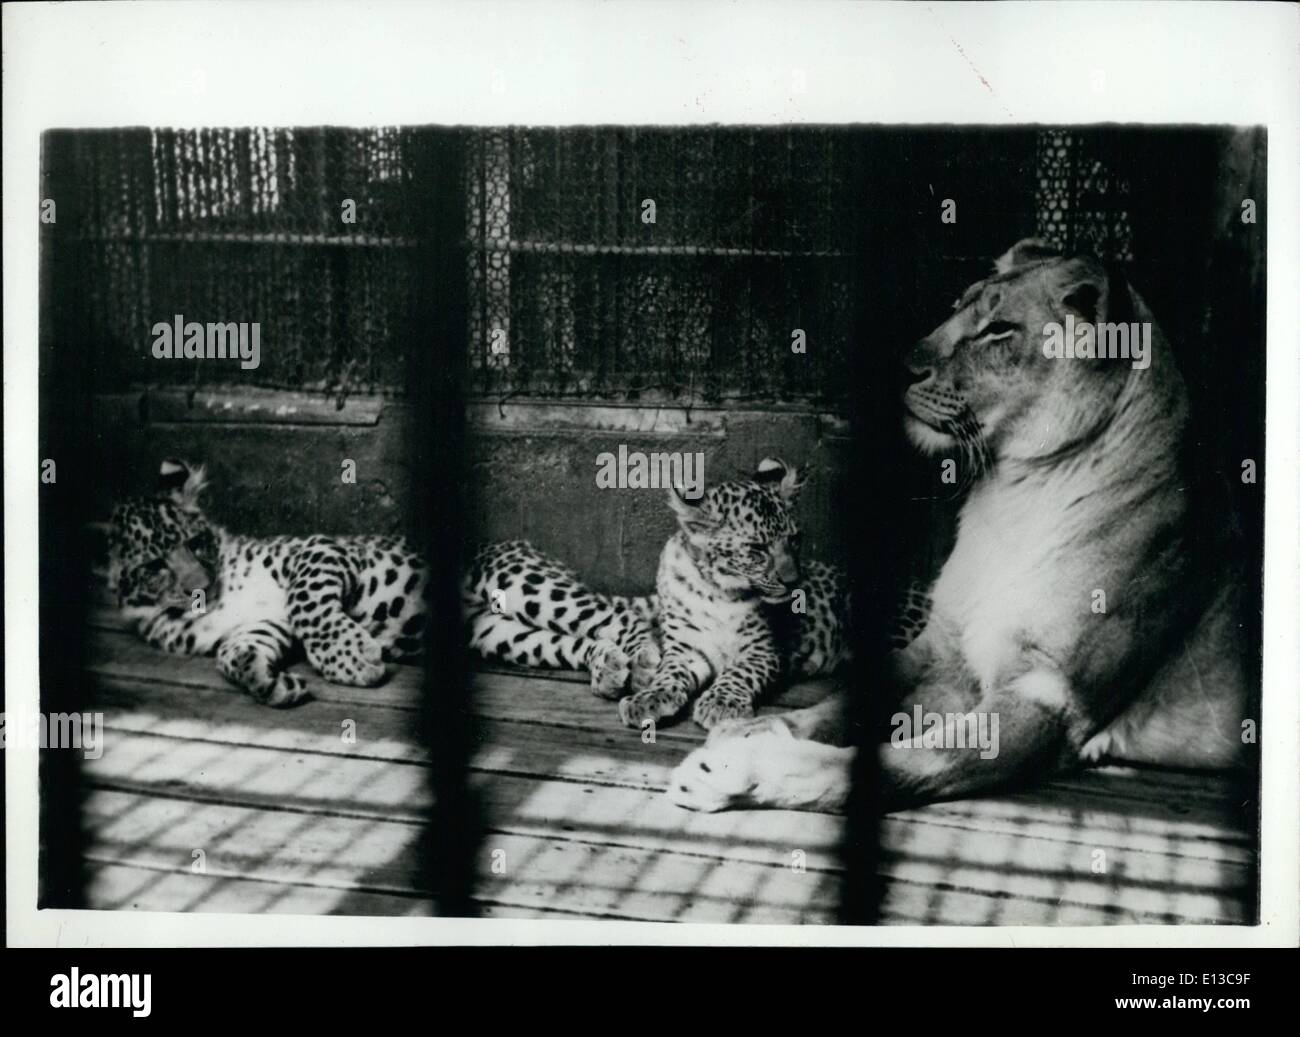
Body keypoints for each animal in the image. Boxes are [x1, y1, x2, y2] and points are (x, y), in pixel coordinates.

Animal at [108, 459, 661, 706]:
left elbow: (310, 605)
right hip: (496, 631)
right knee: (574, 637)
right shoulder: (260, 626)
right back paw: (608, 666)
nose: (202, 585)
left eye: (195, 541)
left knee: (621, 614)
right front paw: (272, 684)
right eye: (154, 565)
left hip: (517, 579)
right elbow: (234, 655)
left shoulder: (322, 551)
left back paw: (646, 661)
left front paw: (354, 659)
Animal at [669, 239, 1254, 813]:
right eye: (957, 307)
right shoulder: (940, 648)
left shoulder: (1050, 697)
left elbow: (907, 763)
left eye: (999, 330)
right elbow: (842, 704)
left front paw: (739, 770)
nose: (902, 366)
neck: (1016, 498)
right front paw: (754, 730)